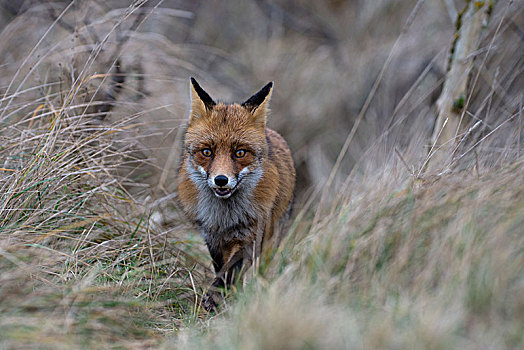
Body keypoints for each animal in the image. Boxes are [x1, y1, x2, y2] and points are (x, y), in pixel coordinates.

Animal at [179, 78, 294, 308]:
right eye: (207, 152)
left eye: (240, 152)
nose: (221, 180)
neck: (226, 218)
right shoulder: (212, 237)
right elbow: (221, 269)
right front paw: (220, 296)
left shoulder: (250, 237)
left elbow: (230, 271)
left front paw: (217, 298)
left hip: (271, 237)